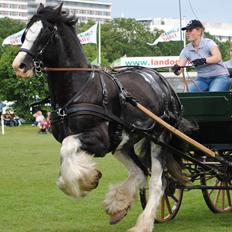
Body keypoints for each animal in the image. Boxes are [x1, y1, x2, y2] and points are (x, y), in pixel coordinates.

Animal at [12, 4, 190, 232]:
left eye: (46, 33)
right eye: (25, 32)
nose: (19, 65)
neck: (80, 89)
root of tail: (164, 83)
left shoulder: (100, 140)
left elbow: (68, 147)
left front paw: (85, 181)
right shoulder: (96, 141)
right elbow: (65, 160)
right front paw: (87, 177)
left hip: (160, 138)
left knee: (159, 182)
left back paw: (143, 223)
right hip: (123, 142)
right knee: (140, 172)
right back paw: (118, 204)